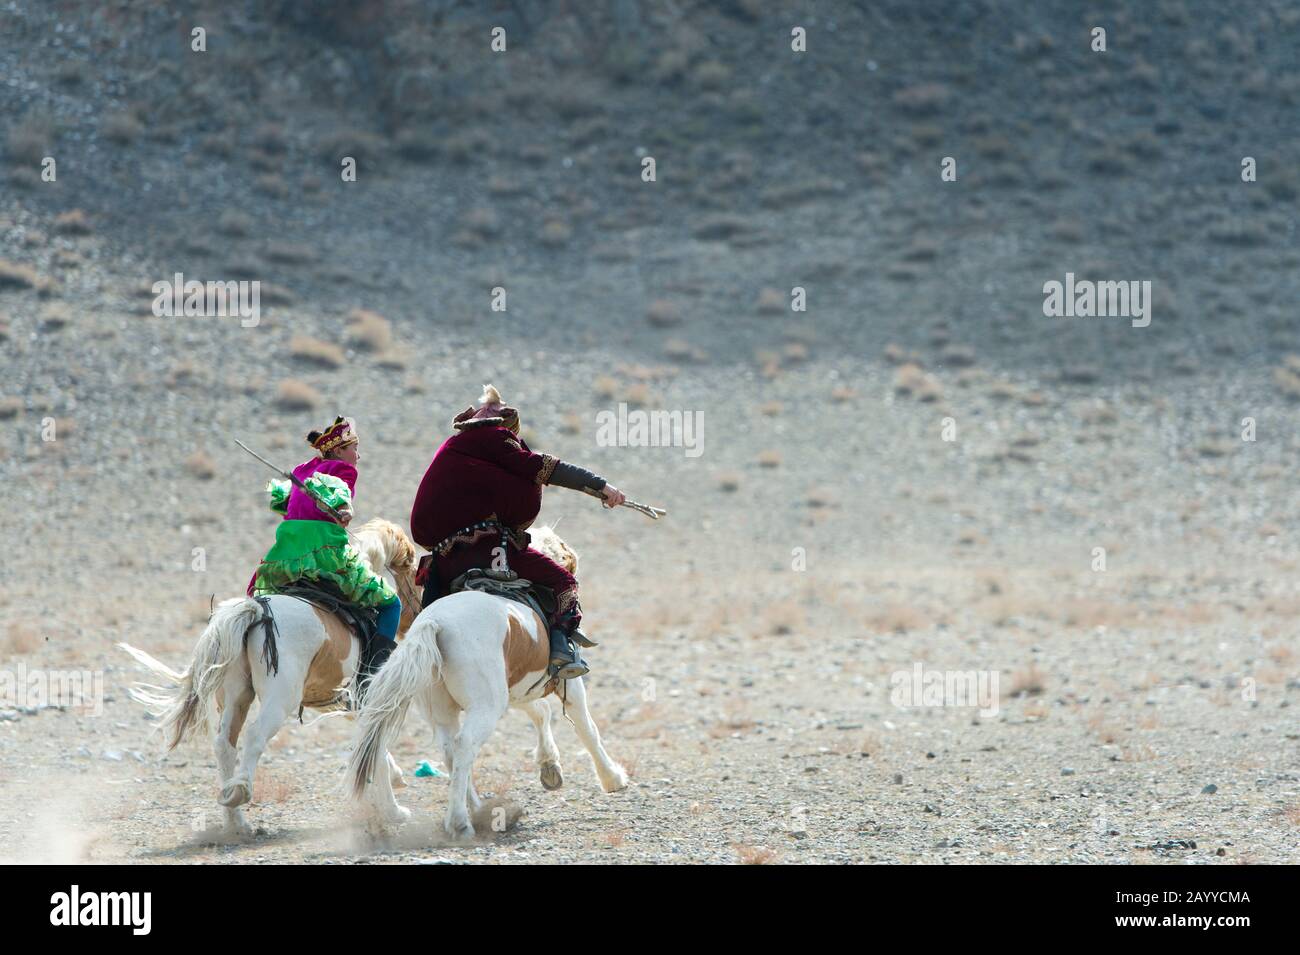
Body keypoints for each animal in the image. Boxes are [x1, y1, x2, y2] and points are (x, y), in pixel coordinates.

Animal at [117, 519, 421, 841]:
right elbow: (375, 746)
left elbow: (372, 746)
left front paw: (396, 782)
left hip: (236, 698)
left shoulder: (344, 704)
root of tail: (256, 612)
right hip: (278, 702)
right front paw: (395, 811)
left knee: (225, 744)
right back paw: (241, 792)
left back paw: (236, 821)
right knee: (254, 736)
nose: (414, 611)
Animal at [345, 522, 629, 841]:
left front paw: (549, 766)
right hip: (486, 706)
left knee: (450, 751)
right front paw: (612, 777)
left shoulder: (519, 688)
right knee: (464, 745)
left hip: (444, 709)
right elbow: (586, 728)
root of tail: (434, 624)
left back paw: (478, 809)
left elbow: (540, 713)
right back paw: (460, 822)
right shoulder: (569, 685)